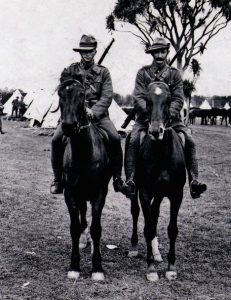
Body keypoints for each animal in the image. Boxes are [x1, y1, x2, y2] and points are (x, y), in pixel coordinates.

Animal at [58, 79, 111, 282]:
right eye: (60, 95)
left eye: (82, 95)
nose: (68, 126)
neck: (83, 152)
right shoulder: (71, 193)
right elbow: (74, 227)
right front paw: (74, 266)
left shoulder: (99, 194)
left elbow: (96, 228)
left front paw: (97, 267)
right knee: (81, 219)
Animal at [125, 81, 187, 282]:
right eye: (148, 100)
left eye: (168, 100)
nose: (154, 131)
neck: (162, 154)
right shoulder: (145, 192)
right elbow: (147, 227)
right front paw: (151, 268)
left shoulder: (176, 194)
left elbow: (171, 228)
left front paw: (171, 267)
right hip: (135, 190)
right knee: (137, 213)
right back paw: (134, 247)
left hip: (160, 194)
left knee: (154, 213)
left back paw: (157, 252)